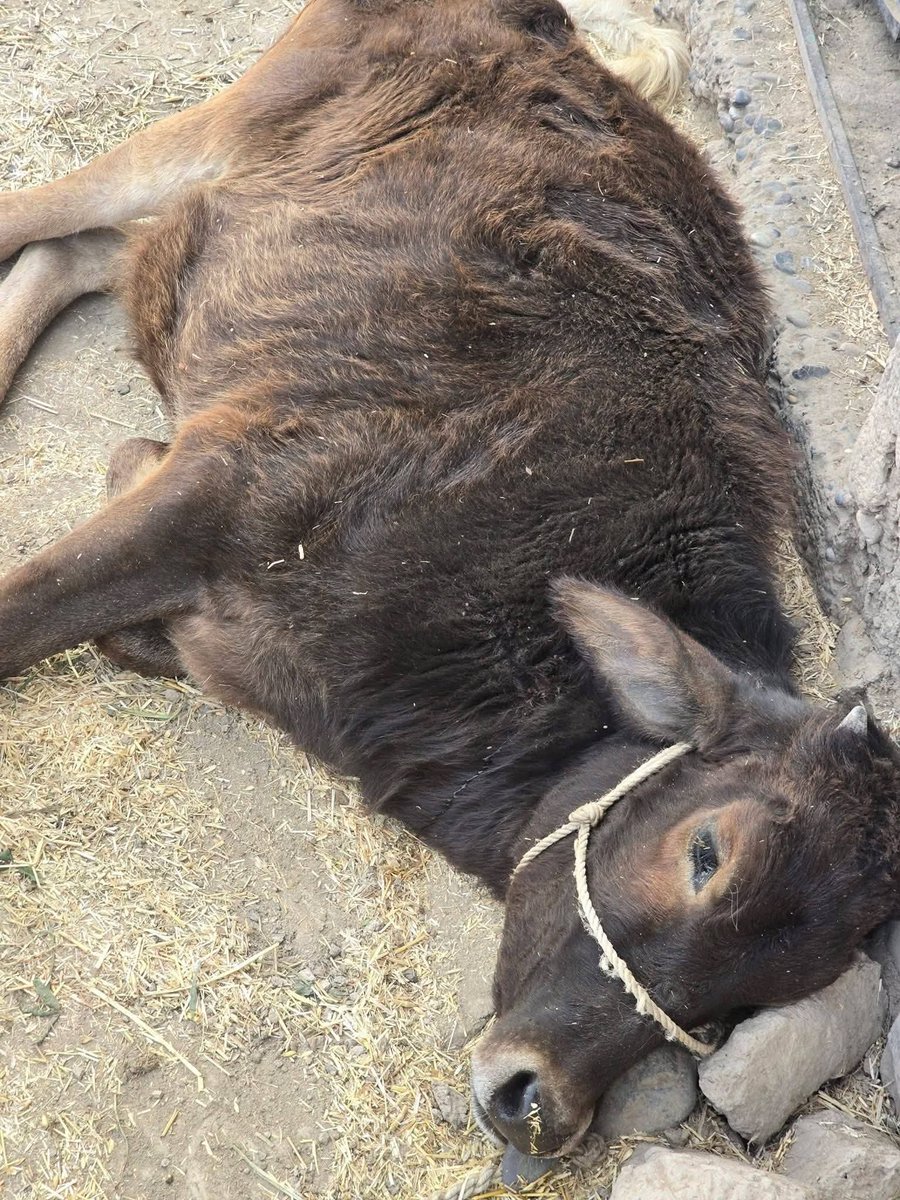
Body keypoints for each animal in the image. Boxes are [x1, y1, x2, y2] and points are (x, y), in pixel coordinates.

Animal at [1, 0, 898, 1164]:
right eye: (708, 851)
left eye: (775, 985)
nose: (537, 1098)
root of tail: (552, 25)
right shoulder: (220, 485)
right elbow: (33, 606)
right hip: (209, 129)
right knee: (39, 214)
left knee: (86, 252)